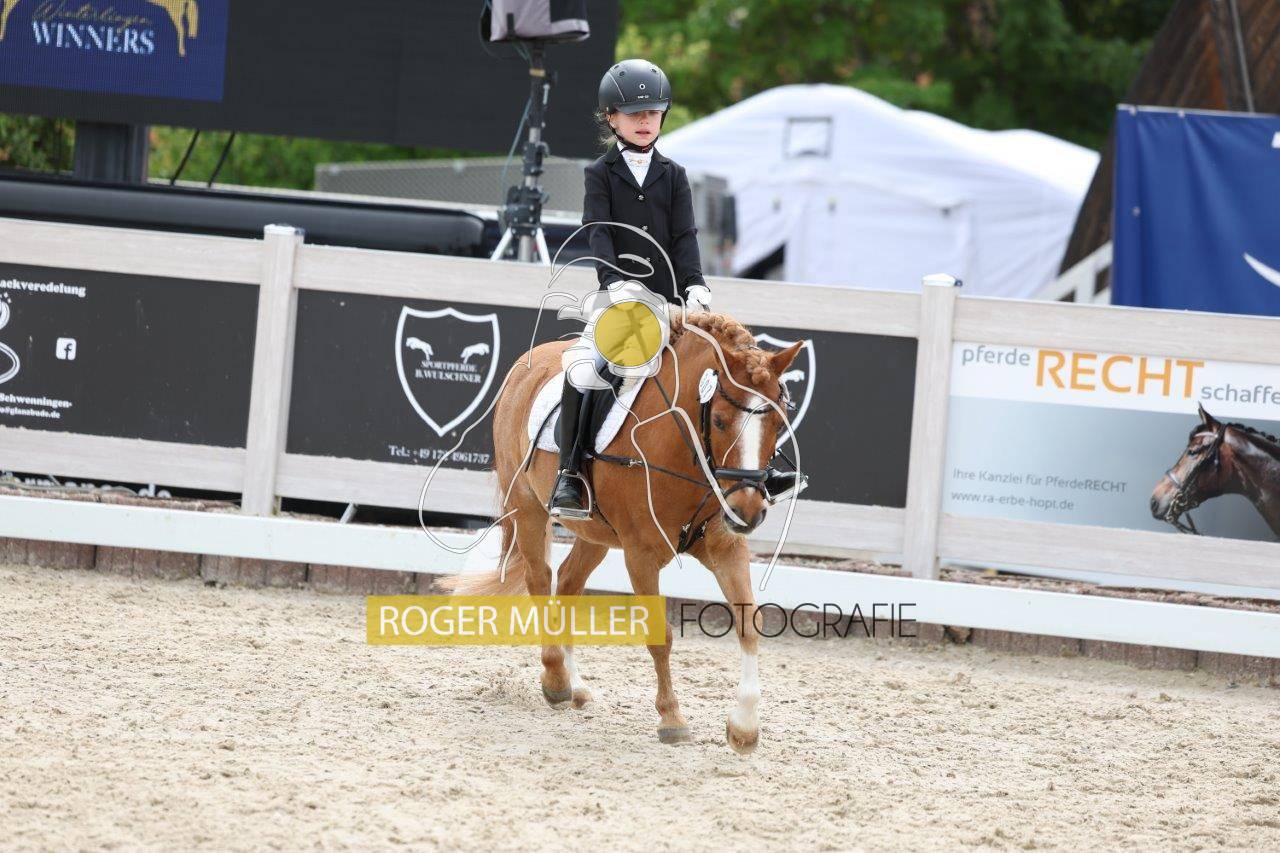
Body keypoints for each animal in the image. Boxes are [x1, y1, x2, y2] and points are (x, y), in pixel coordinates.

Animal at [442, 311, 803, 753]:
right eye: (718, 420)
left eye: (779, 421)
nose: (748, 511)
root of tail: (527, 363)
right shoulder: (641, 555)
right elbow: (660, 635)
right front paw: (671, 718)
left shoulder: (725, 546)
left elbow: (749, 622)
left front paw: (745, 727)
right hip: (528, 510)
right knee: (539, 579)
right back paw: (556, 679)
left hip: (593, 533)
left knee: (568, 583)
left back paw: (576, 685)